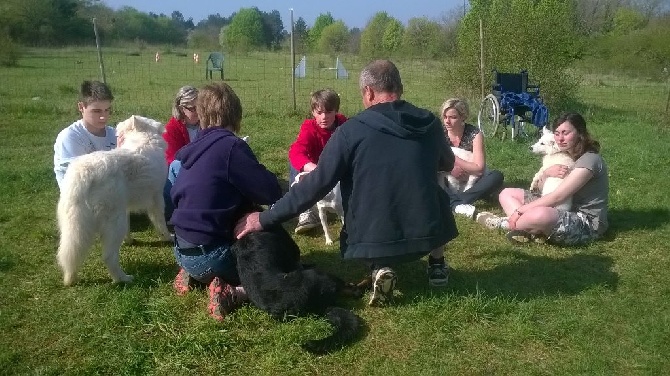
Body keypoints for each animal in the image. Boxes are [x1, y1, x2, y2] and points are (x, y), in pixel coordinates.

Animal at [56, 114, 172, 284]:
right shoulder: (156, 198)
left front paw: (129, 241)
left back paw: (70, 278)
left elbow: (130, 229)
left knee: (70, 255)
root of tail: (85, 173)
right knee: (108, 257)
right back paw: (123, 279)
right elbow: (161, 223)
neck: (144, 139)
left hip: (73, 228)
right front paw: (168, 238)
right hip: (115, 223)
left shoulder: (126, 208)